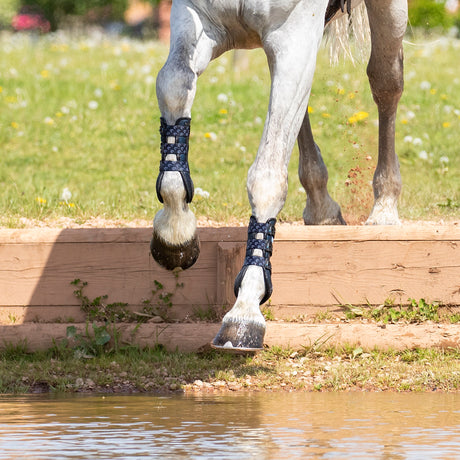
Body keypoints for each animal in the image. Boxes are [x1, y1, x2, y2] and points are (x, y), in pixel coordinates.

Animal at [149, 0, 408, 352]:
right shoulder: (197, 18)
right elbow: (174, 83)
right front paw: (175, 232)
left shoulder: (293, 34)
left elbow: (267, 176)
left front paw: (245, 310)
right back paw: (321, 206)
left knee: (385, 81)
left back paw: (385, 204)